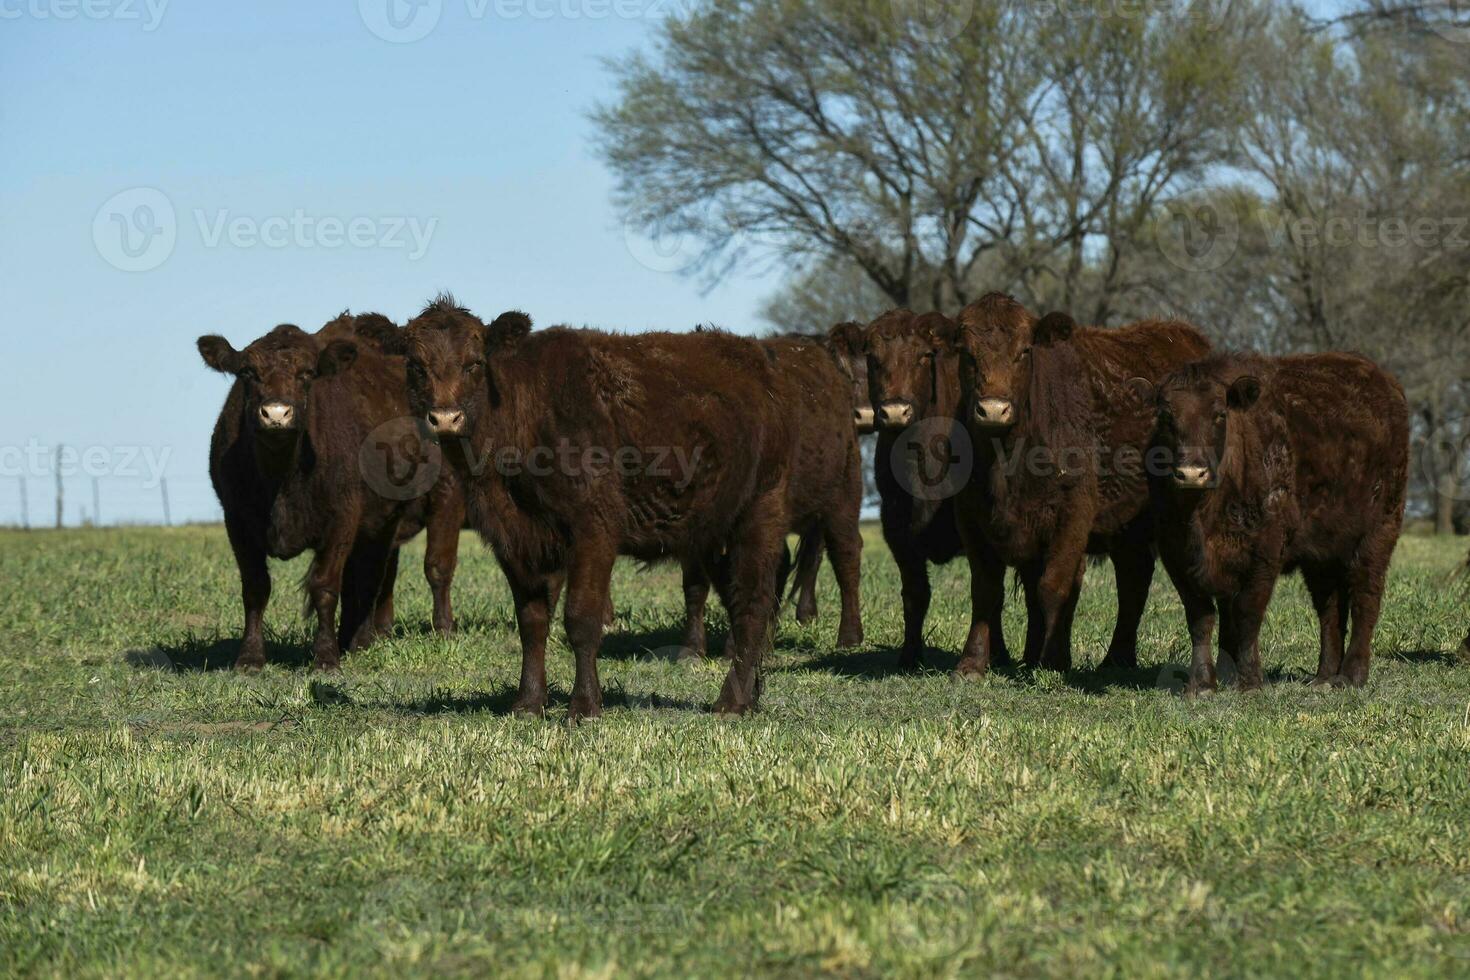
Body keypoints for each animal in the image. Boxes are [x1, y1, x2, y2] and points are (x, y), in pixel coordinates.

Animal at [402, 299, 793, 719]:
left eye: (474, 363)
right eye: (416, 366)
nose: (445, 418)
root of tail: (755, 359)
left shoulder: (594, 528)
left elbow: (582, 618)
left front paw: (584, 705)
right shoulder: (514, 539)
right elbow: (532, 621)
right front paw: (528, 702)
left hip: (759, 513)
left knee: (753, 604)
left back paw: (730, 702)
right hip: (711, 530)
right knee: (739, 603)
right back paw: (749, 695)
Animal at [852, 310, 1011, 669]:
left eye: (924, 356)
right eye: (873, 358)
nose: (895, 411)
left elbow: (991, 594)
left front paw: (998, 655)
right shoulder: (896, 528)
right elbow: (915, 594)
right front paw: (909, 656)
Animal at [946, 295, 1211, 678]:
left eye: (1024, 351)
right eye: (967, 353)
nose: (993, 410)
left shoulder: (1073, 513)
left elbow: (1053, 586)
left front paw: (1054, 661)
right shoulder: (971, 516)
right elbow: (987, 590)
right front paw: (973, 663)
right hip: (1126, 526)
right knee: (1134, 578)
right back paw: (1116, 659)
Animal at [1152, 351, 1405, 690]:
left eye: (1219, 415)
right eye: (1166, 417)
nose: (1191, 473)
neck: (1202, 516)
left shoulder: (1264, 551)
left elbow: (1246, 613)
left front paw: (1249, 682)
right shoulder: (1176, 555)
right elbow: (1202, 618)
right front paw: (1205, 683)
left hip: (1377, 534)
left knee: (1366, 598)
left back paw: (1351, 675)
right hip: (1323, 554)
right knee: (1330, 609)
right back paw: (1324, 676)